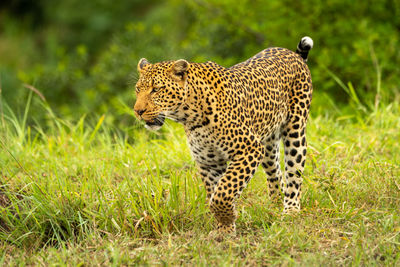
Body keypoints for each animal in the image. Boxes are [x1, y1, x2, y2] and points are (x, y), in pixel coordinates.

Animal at [133, 36, 314, 234]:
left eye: (156, 89)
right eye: (137, 89)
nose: (138, 111)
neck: (190, 117)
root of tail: (292, 54)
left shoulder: (249, 149)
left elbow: (224, 191)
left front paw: (228, 219)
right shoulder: (209, 161)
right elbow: (215, 192)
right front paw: (224, 228)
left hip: (295, 130)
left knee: (294, 173)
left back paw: (290, 210)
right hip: (267, 142)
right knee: (275, 174)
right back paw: (274, 205)